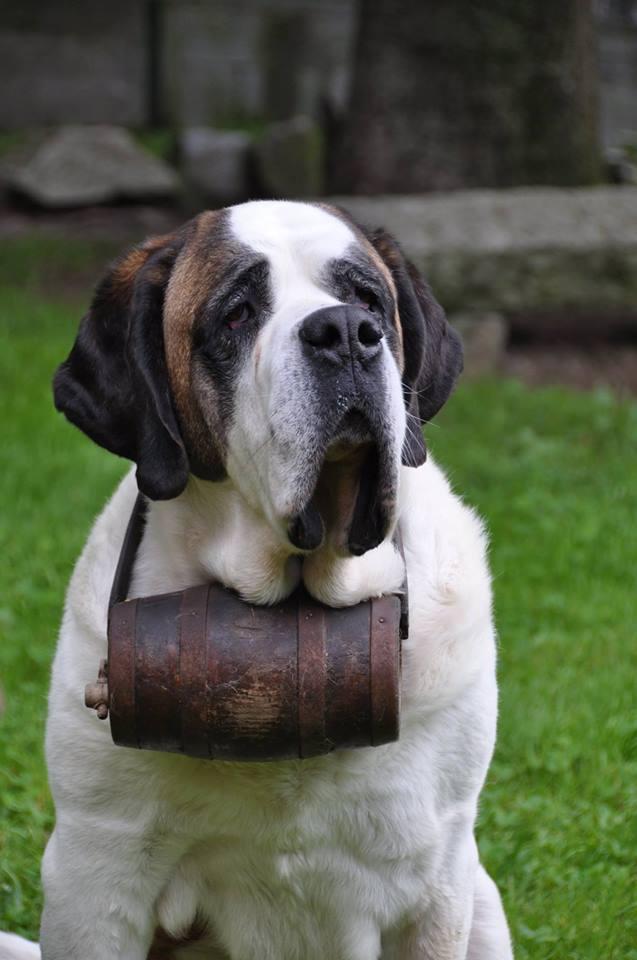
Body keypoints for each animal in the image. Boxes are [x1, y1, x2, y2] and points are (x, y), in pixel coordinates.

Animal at [1, 201, 512, 960]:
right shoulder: (94, 874)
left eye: (369, 301)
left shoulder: (438, 882)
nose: (344, 333)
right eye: (238, 315)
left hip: (481, 900)